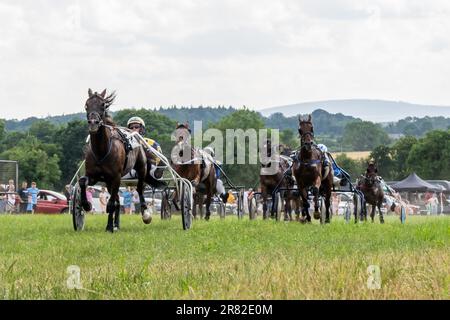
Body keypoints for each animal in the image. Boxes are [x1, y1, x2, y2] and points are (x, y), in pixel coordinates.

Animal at [78, 89, 148, 231]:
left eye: (103, 105)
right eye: (86, 105)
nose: (93, 123)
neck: (101, 150)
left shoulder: (116, 177)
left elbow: (110, 204)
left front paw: (109, 227)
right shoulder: (93, 175)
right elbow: (82, 181)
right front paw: (86, 205)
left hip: (141, 168)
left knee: (139, 189)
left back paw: (144, 213)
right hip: (109, 182)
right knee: (117, 200)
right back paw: (117, 224)